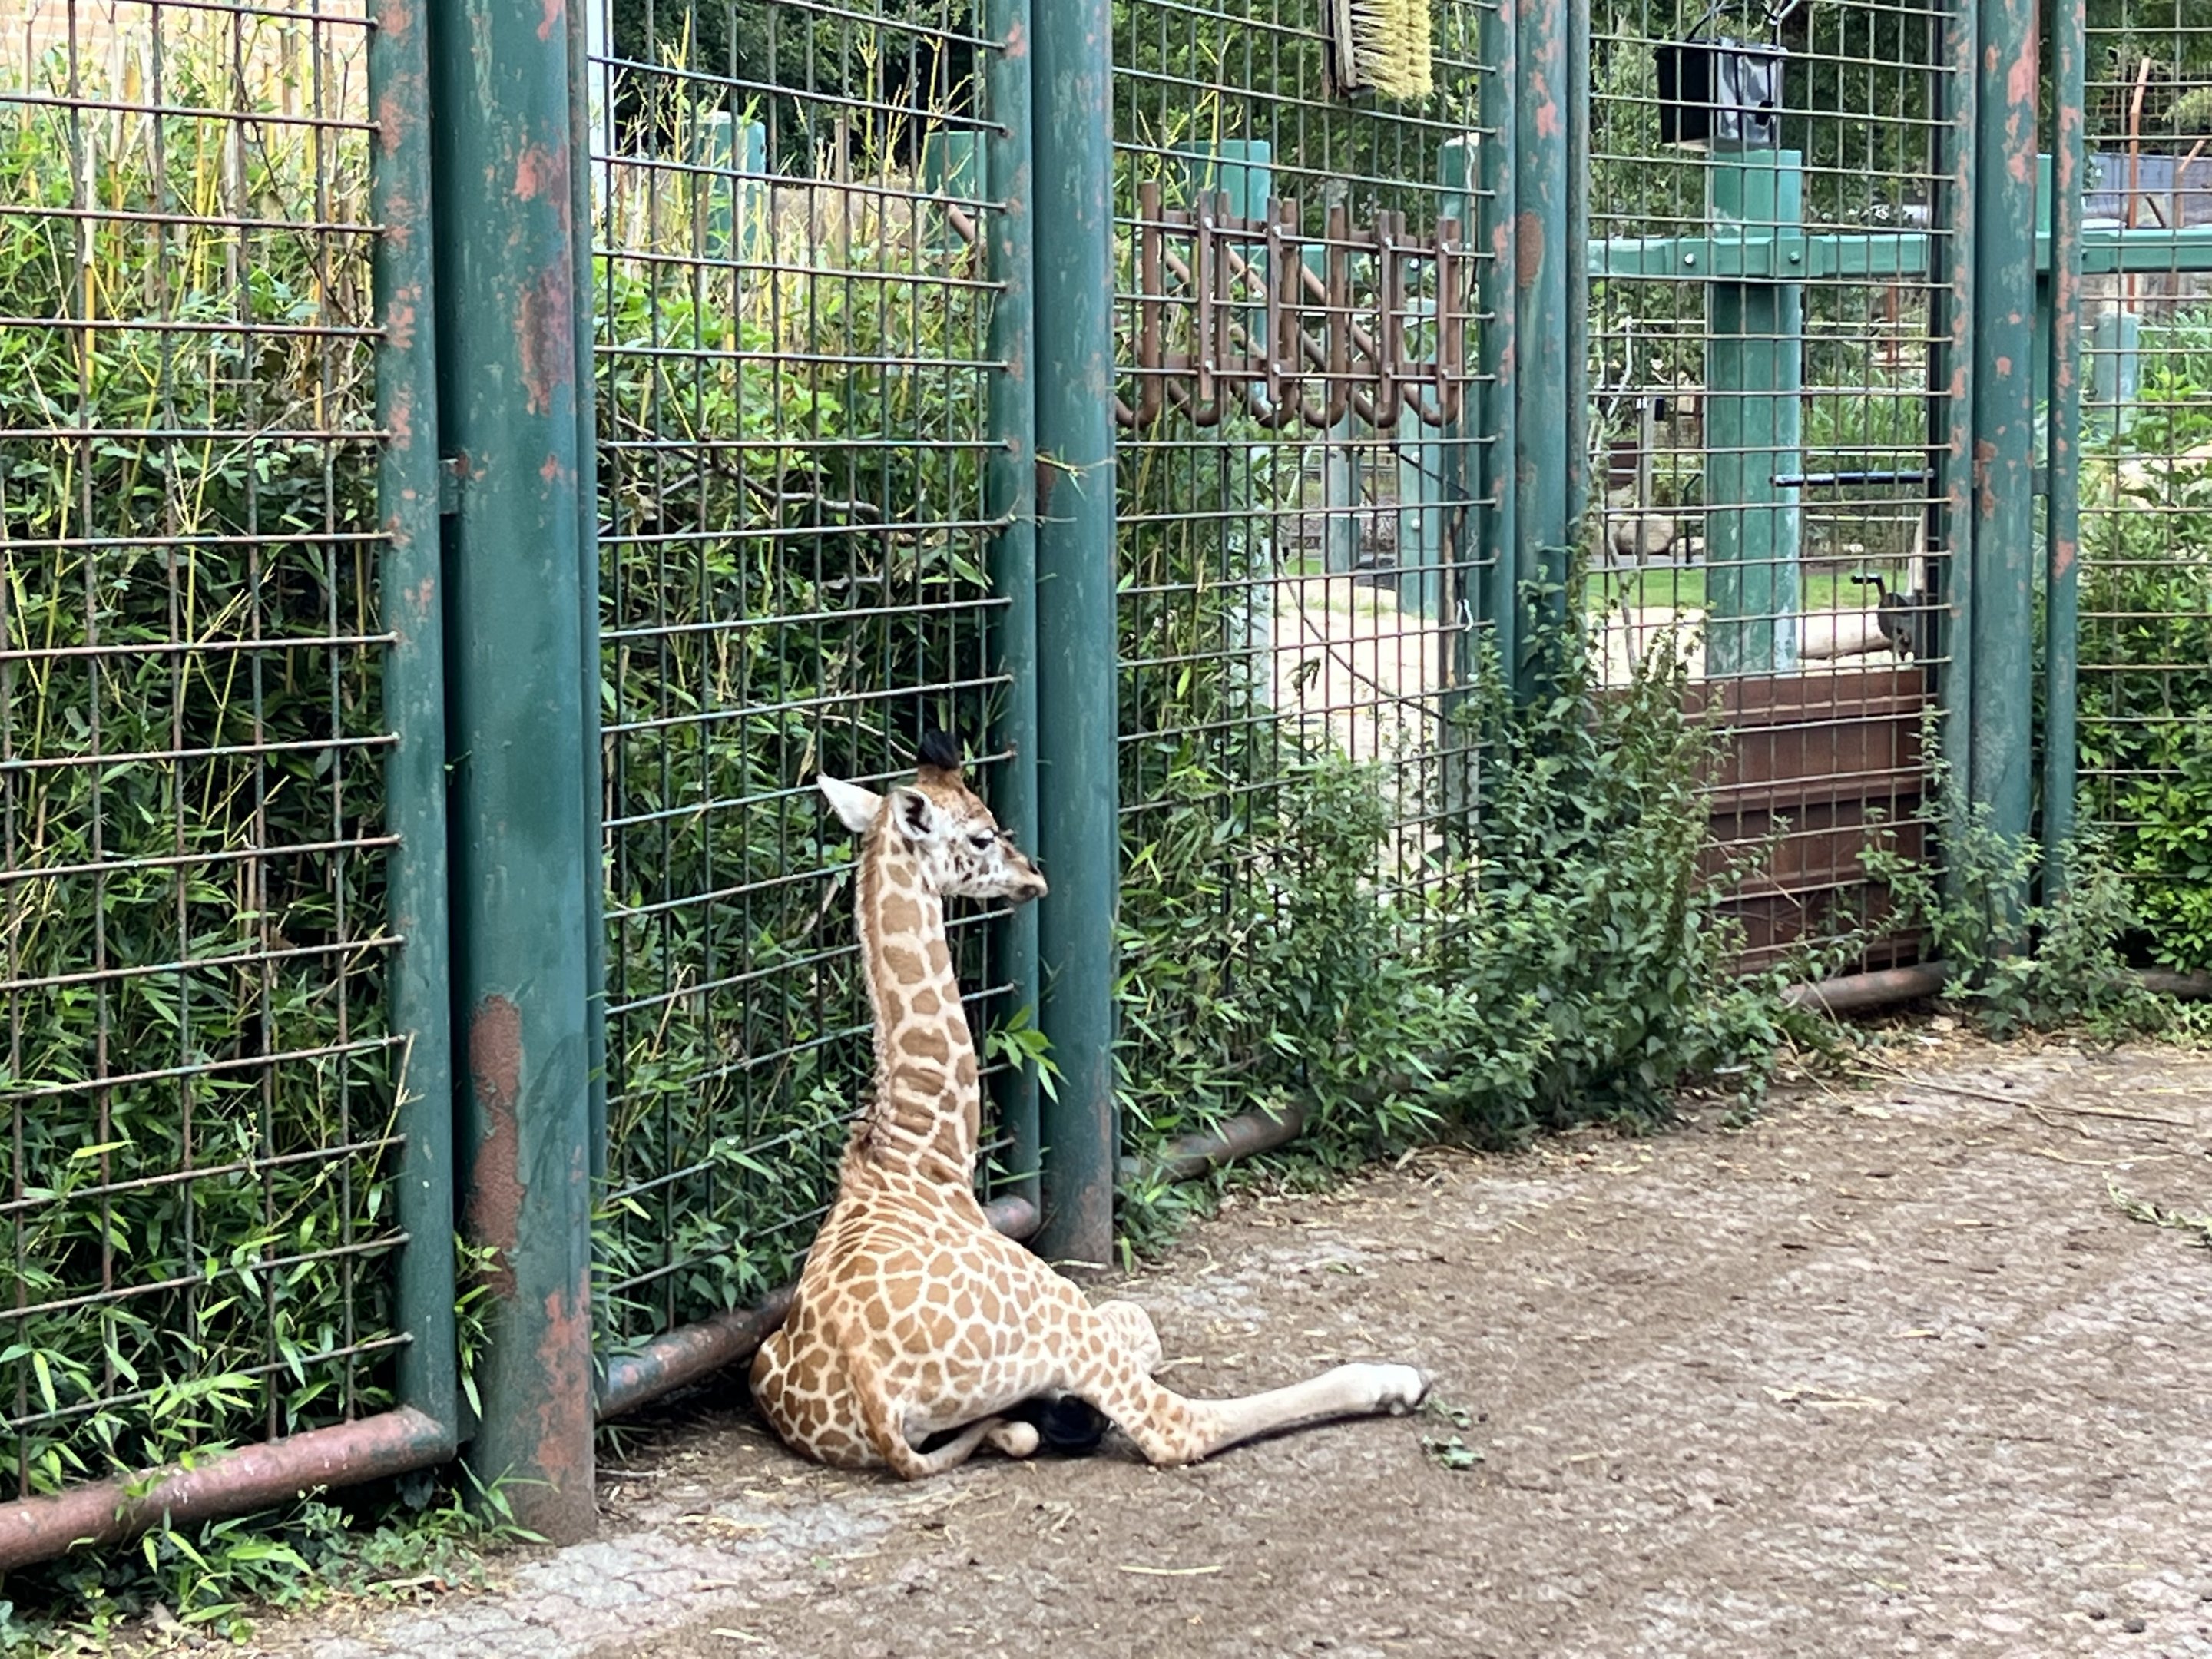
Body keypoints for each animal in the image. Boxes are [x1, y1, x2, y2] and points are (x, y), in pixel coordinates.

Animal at [748, 734, 1431, 1478]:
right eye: (983, 834)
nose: (1033, 877)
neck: (923, 1150)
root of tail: (871, 1389)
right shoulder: (1076, 1306)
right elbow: (1140, 1326)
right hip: (1058, 1315)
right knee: (1174, 1424)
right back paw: (1393, 1379)